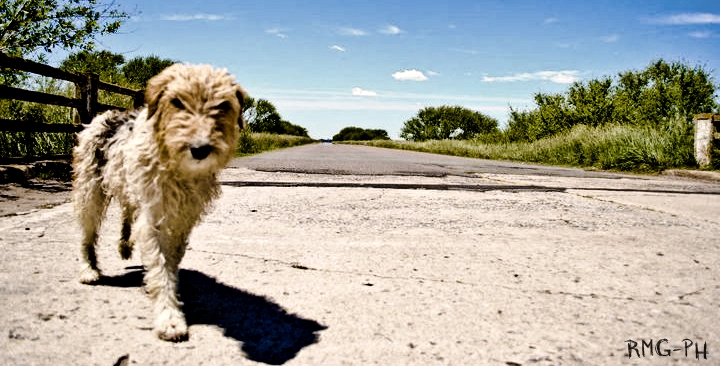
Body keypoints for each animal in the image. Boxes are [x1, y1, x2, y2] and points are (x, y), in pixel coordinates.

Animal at [73, 63, 246, 340]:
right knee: (88, 233)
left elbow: (168, 262)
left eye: (223, 105)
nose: (200, 149)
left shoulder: (181, 219)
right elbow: (160, 265)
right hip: (90, 191)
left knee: (128, 212)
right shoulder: (156, 214)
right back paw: (89, 269)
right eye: (177, 102)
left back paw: (125, 245)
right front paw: (169, 317)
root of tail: (107, 115)